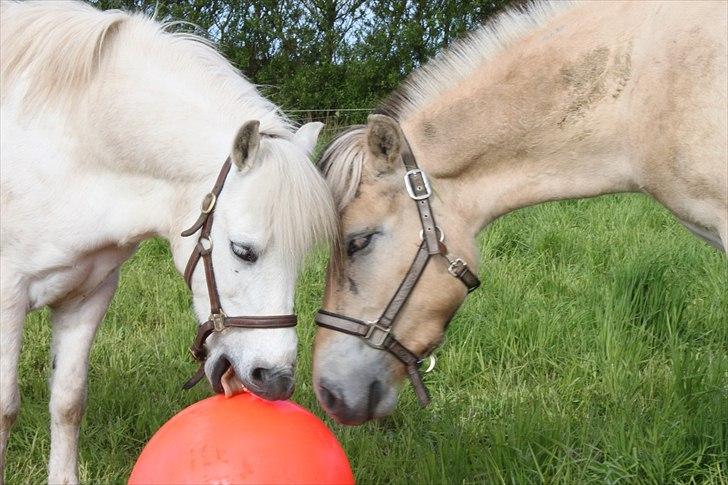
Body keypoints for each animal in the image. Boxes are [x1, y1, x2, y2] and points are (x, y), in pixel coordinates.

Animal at [0, 1, 336, 482]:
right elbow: (5, 408)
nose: (275, 380)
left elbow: (68, 401)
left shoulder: (88, 294)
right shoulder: (8, 297)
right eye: (242, 251)